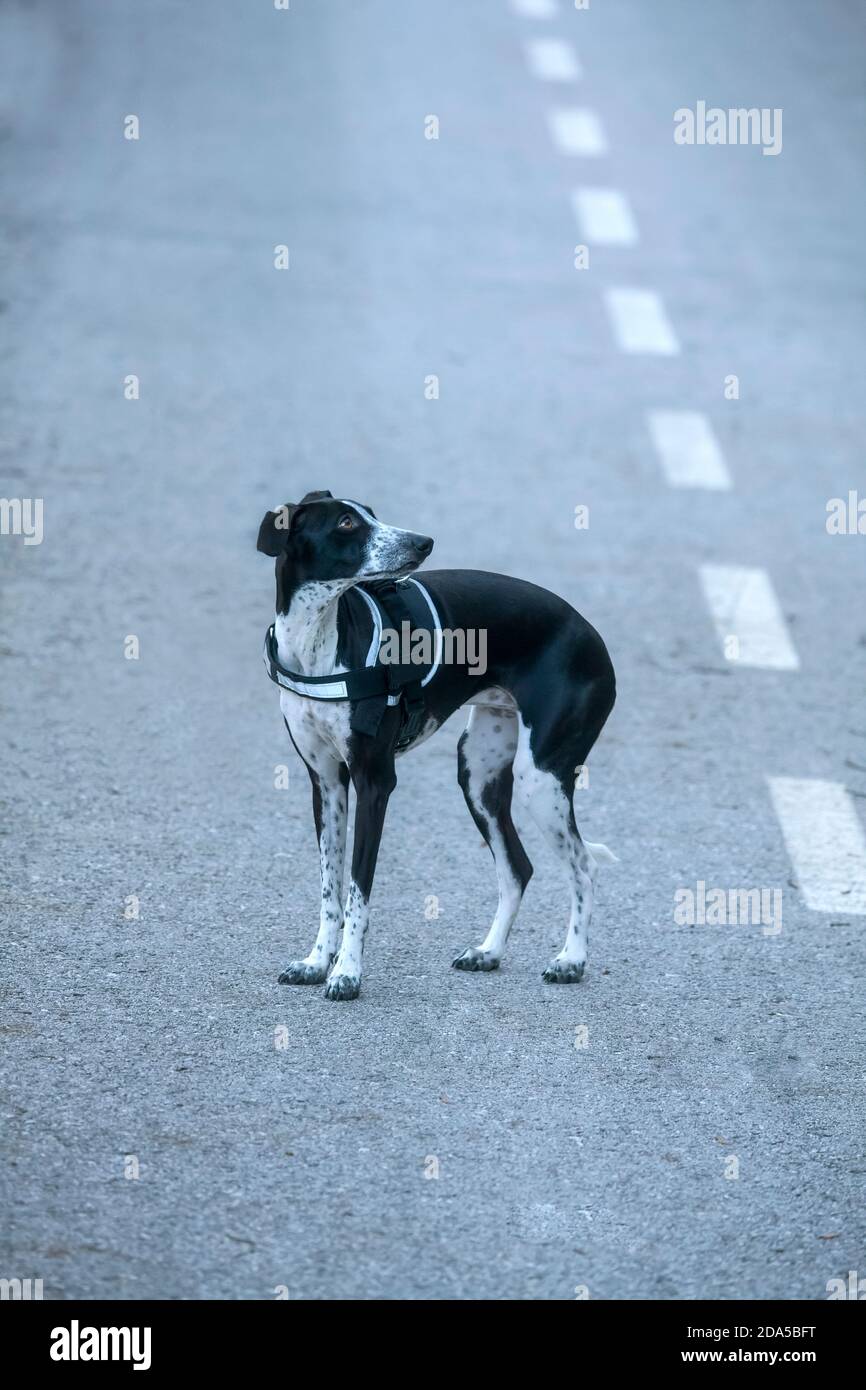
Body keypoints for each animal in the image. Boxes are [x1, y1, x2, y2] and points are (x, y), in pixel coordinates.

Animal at [257, 489, 617, 1000]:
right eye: (347, 522)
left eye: (371, 513)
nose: (422, 542)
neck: (316, 641)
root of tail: (590, 632)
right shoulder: (326, 784)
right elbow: (330, 888)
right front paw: (316, 962)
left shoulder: (374, 783)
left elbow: (357, 890)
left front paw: (347, 972)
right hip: (478, 775)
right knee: (517, 868)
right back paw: (489, 952)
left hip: (540, 780)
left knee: (584, 866)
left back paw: (572, 960)